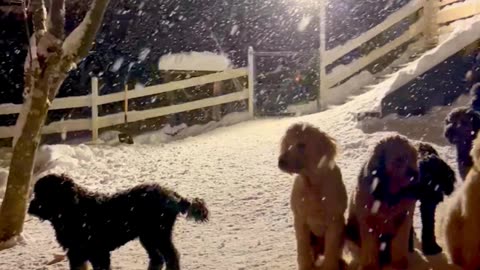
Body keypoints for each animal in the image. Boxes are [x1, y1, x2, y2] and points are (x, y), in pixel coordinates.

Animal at [28, 174, 208, 270]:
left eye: (44, 193)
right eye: (36, 192)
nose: (30, 207)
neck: (72, 209)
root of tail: (173, 195)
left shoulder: (97, 252)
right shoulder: (77, 253)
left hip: (158, 234)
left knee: (171, 257)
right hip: (147, 237)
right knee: (157, 259)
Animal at [278, 123, 348, 270]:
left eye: (302, 145)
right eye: (288, 144)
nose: (280, 161)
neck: (313, 185)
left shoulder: (334, 222)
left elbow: (331, 251)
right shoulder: (300, 220)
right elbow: (303, 249)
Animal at [344, 136, 420, 268]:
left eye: (414, 157)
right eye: (398, 160)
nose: (415, 174)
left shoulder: (404, 218)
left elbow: (399, 242)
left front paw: (399, 264)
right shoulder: (368, 221)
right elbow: (370, 247)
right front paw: (369, 266)